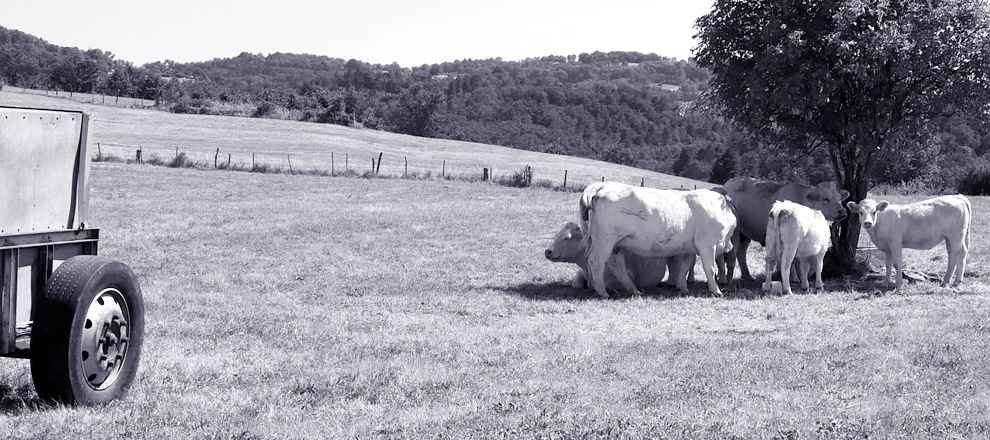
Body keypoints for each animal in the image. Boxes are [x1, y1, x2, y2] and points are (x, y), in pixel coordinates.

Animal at [580, 180, 736, 298]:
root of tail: (603, 184)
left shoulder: (688, 249)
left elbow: (684, 268)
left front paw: (683, 288)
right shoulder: (707, 245)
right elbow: (710, 269)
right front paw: (716, 291)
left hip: (616, 245)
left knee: (617, 266)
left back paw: (634, 290)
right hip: (605, 241)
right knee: (596, 262)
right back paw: (602, 292)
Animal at [720, 177, 852, 280]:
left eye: (839, 198)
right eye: (825, 199)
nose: (843, 211)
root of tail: (729, 183)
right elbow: (792, 259)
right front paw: (794, 278)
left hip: (744, 235)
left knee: (741, 252)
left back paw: (747, 276)